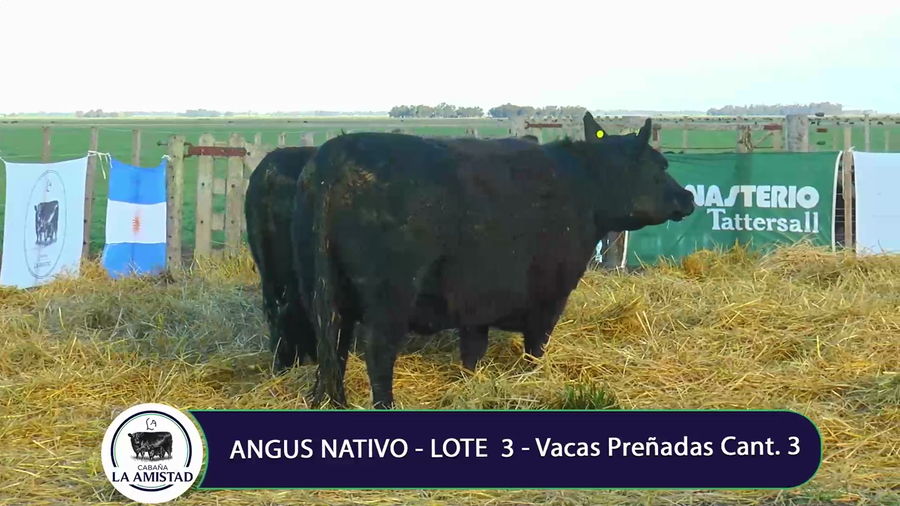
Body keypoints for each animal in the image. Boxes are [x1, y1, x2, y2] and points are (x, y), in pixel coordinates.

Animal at [291, 112, 696, 409]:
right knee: (376, 350)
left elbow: (473, 351)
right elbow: (536, 345)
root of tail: (334, 158)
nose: (689, 197)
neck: (583, 185)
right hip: (389, 296)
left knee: (334, 347)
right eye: (661, 166)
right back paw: (385, 404)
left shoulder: (476, 301)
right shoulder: (549, 295)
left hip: (323, 293)